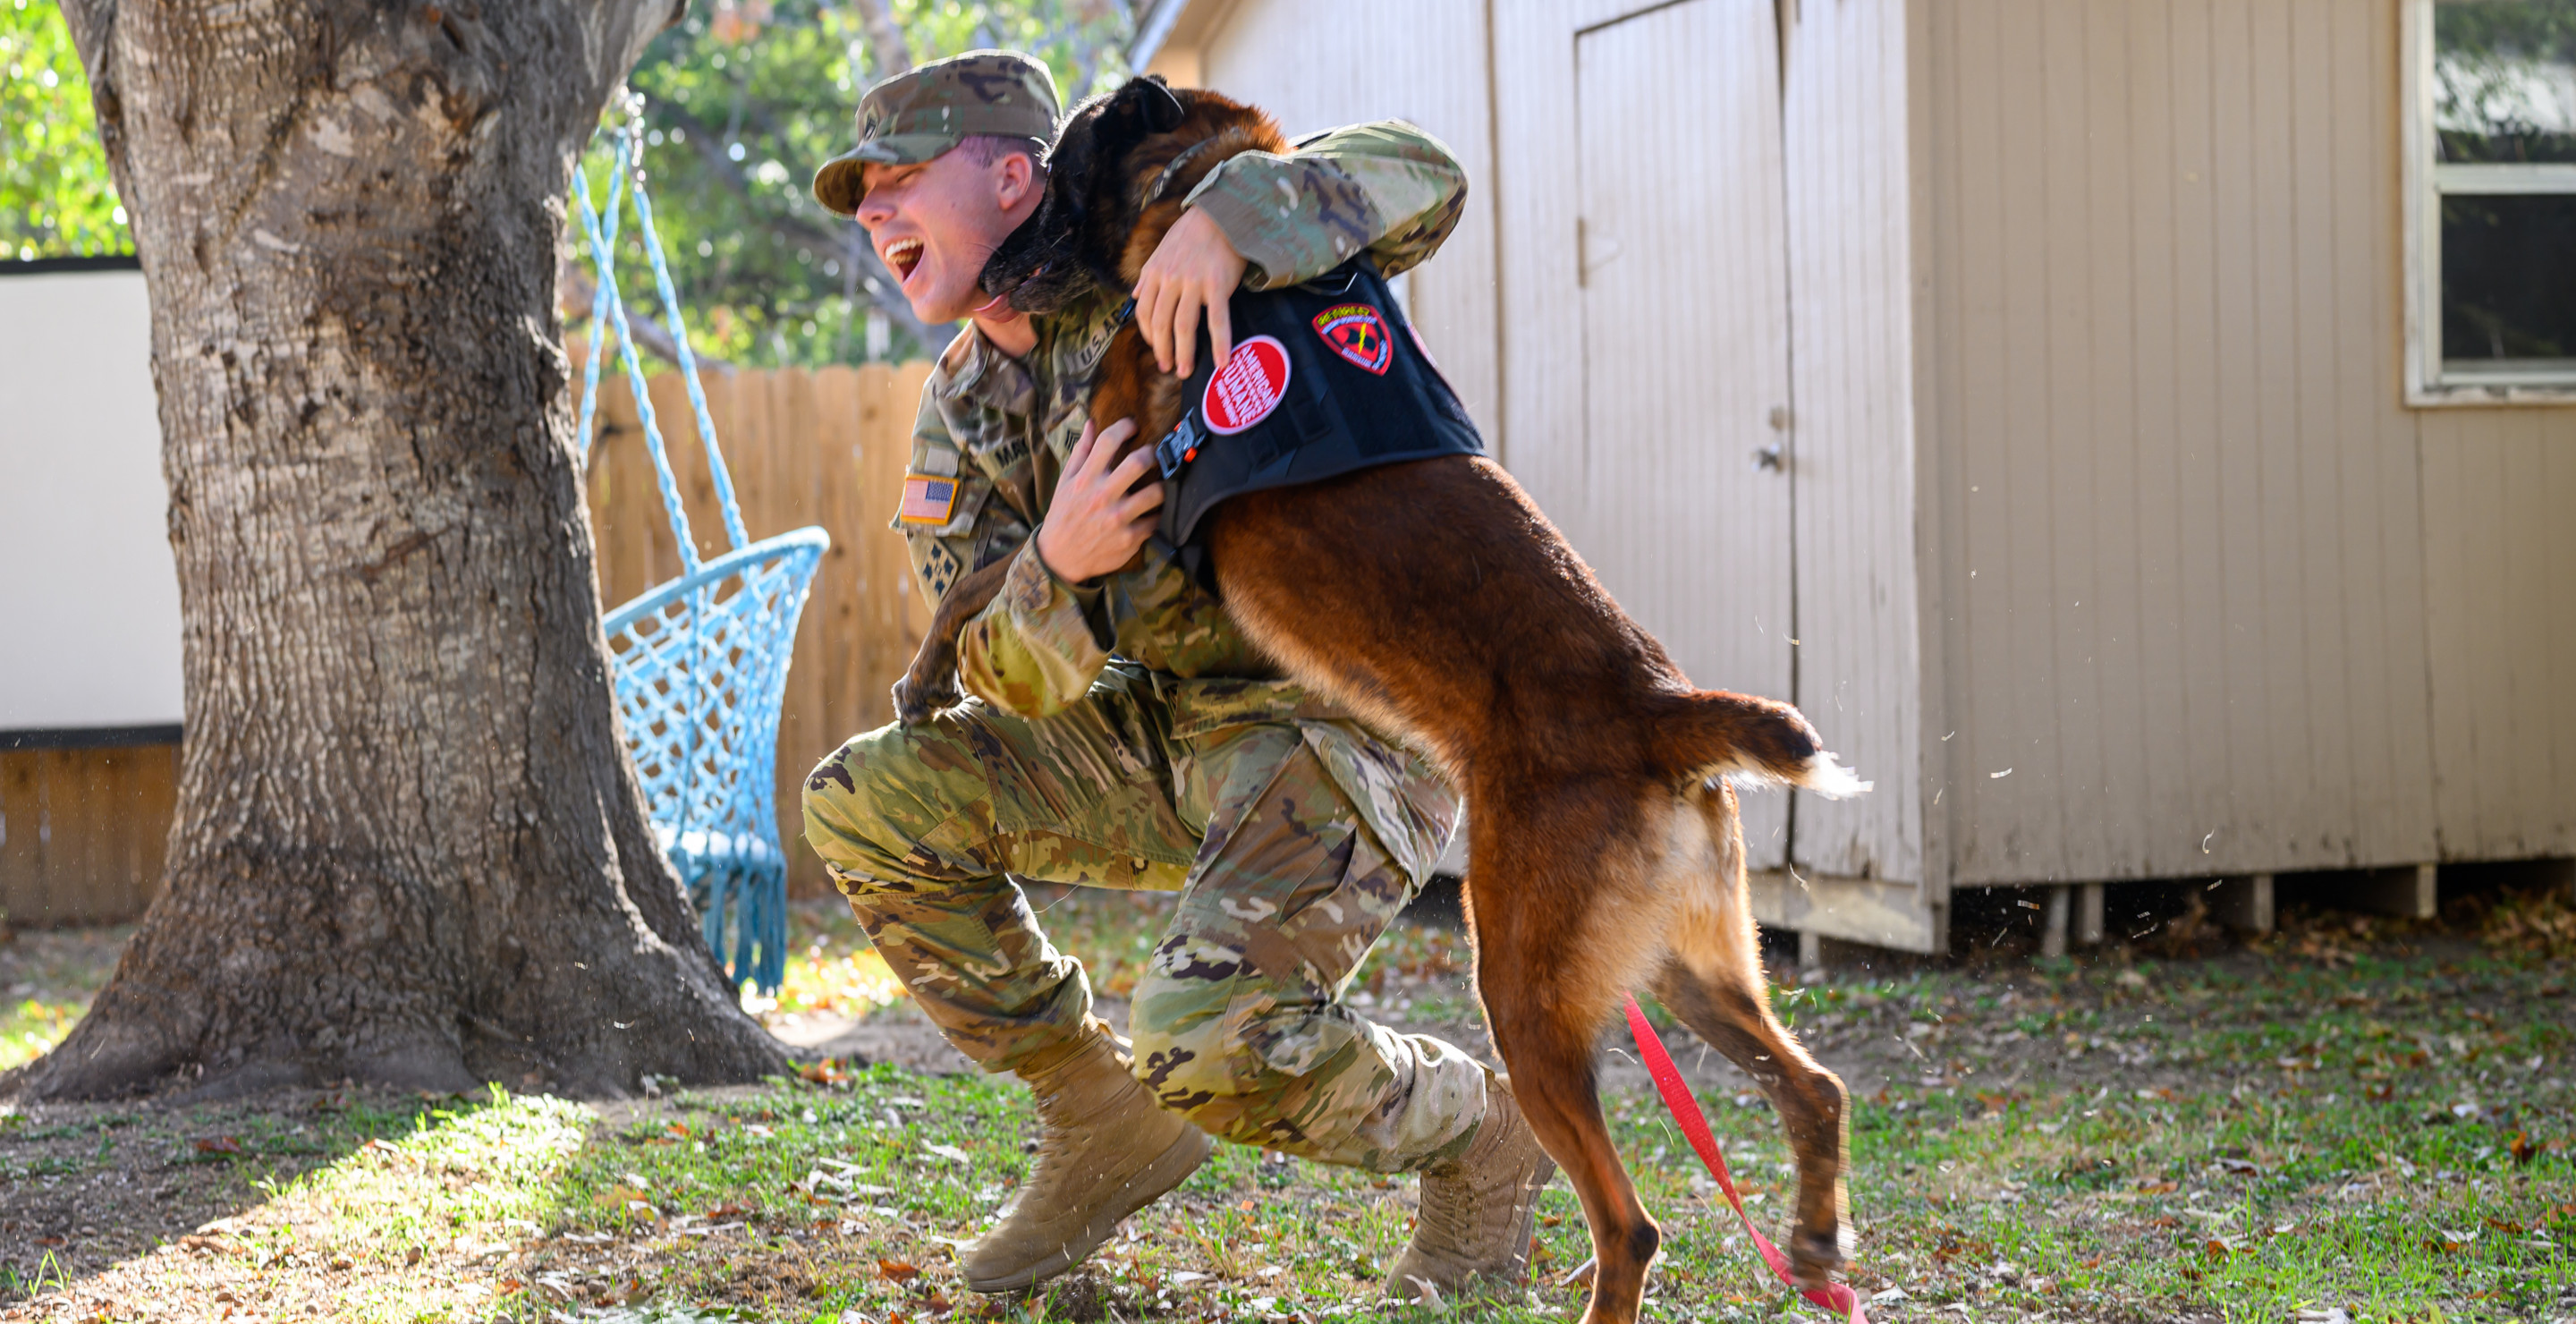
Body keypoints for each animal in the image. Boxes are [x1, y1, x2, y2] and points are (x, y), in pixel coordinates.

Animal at [896, 80, 1865, 1319]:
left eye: (1052, 174)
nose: (988, 267)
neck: (1186, 196)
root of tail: (1659, 703)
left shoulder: (1107, 485)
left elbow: (986, 576)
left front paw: (925, 672)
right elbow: (993, 574)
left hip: (1523, 986)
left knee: (1632, 1222)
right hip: (1692, 971)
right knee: (1816, 1089)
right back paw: (1817, 1244)